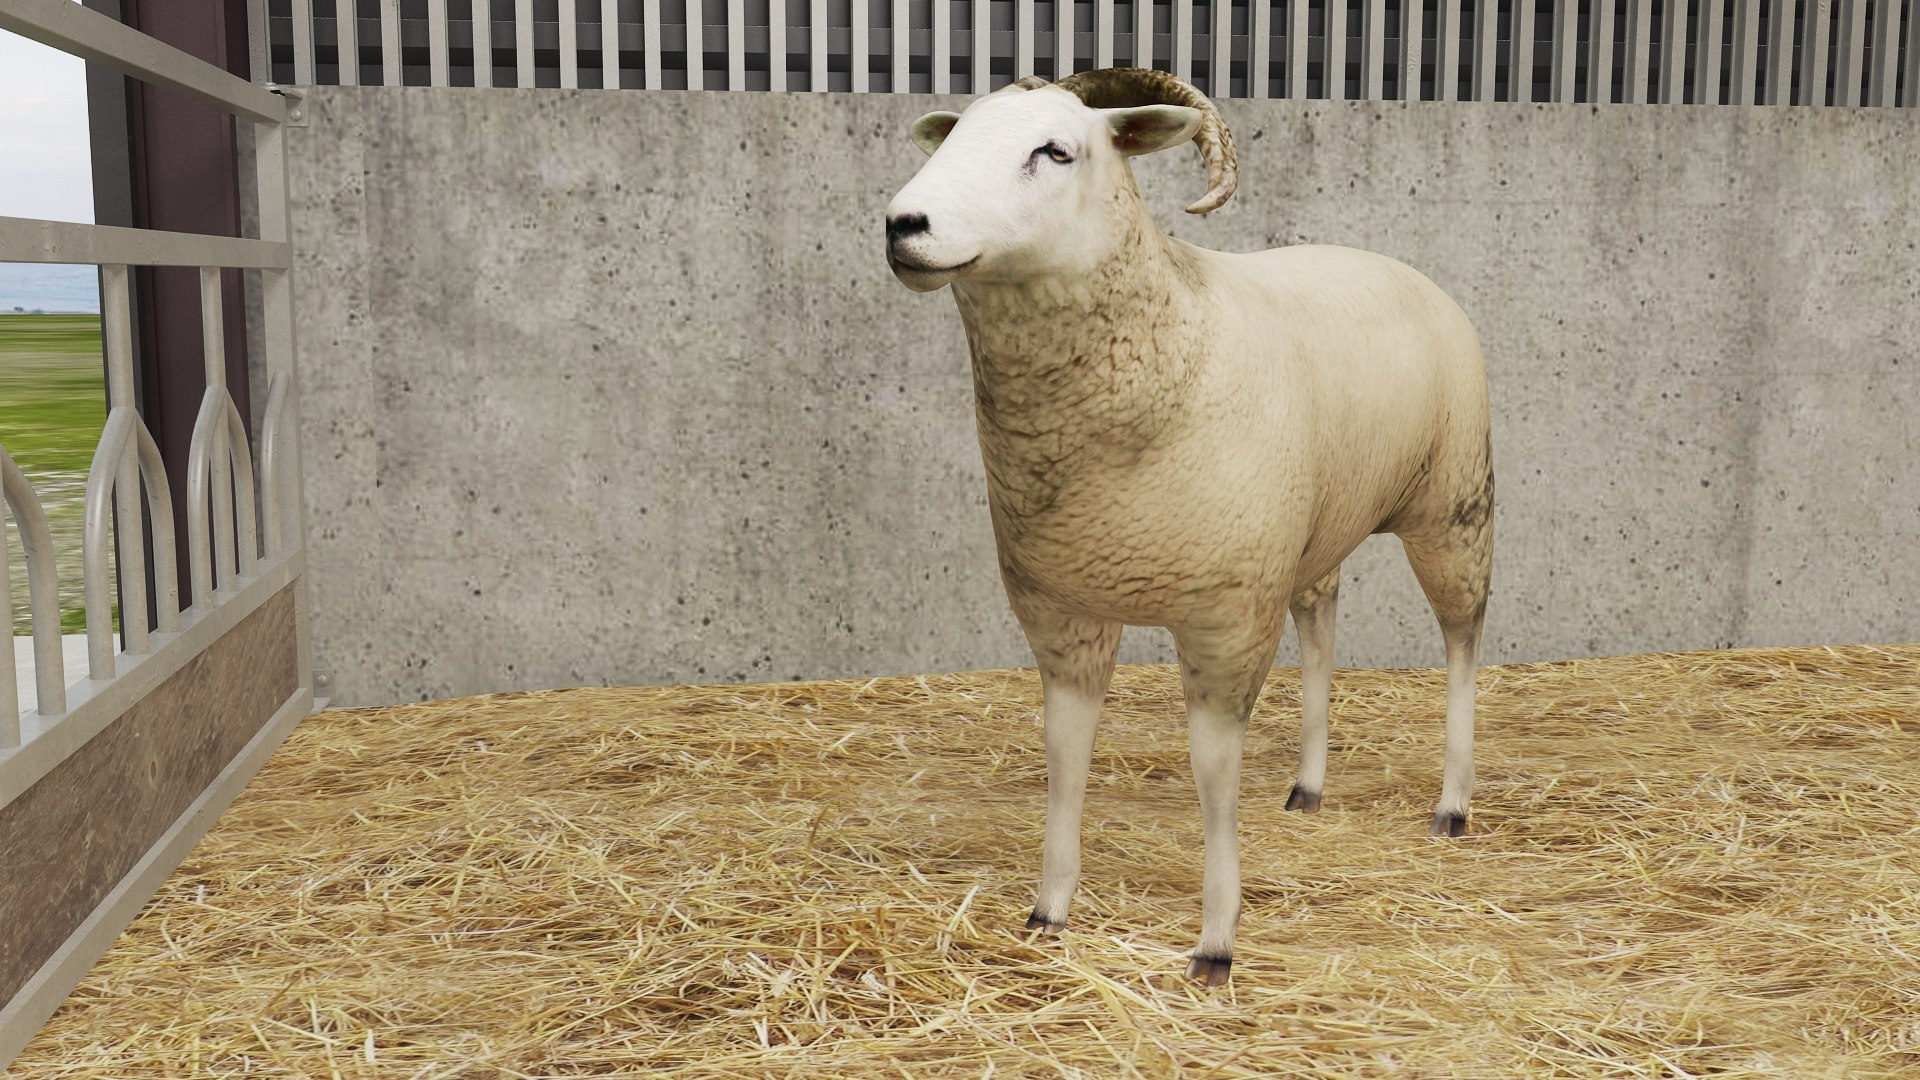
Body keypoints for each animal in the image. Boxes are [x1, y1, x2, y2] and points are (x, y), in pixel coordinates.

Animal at [882, 68, 1494, 986]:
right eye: (953, 138)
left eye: (1055, 150)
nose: (904, 227)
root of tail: (1391, 263)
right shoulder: (1061, 611)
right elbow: (1065, 759)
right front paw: (1049, 909)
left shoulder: (1224, 617)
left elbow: (1213, 775)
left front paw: (1215, 942)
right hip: (1312, 533)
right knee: (1322, 623)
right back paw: (1309, 787)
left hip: (1454, 504)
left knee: (1461, 636)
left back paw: (1451, 804)